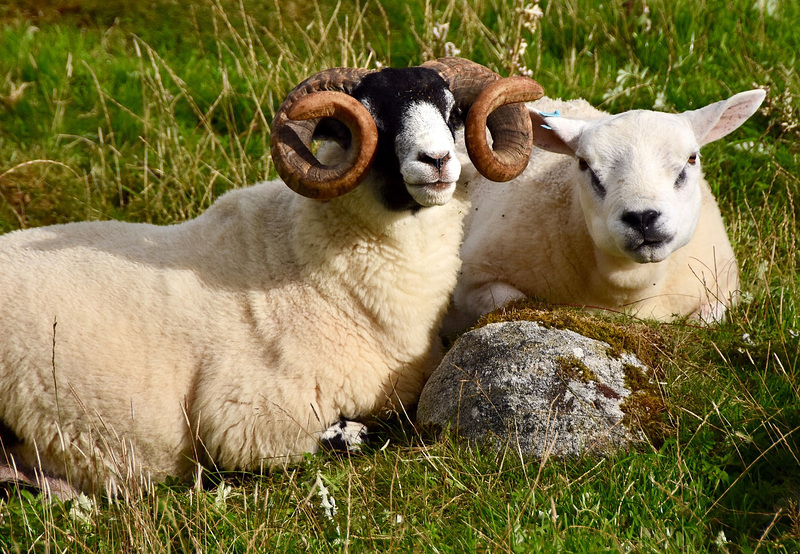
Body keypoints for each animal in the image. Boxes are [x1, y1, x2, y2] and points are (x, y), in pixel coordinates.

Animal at [446, 88, 764, 326]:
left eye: (691, 159)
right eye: (584, 164)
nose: (642, 218)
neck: (629, 288)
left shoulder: (724, 289)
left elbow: (705, 321)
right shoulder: (472, 283)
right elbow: (515, 301)